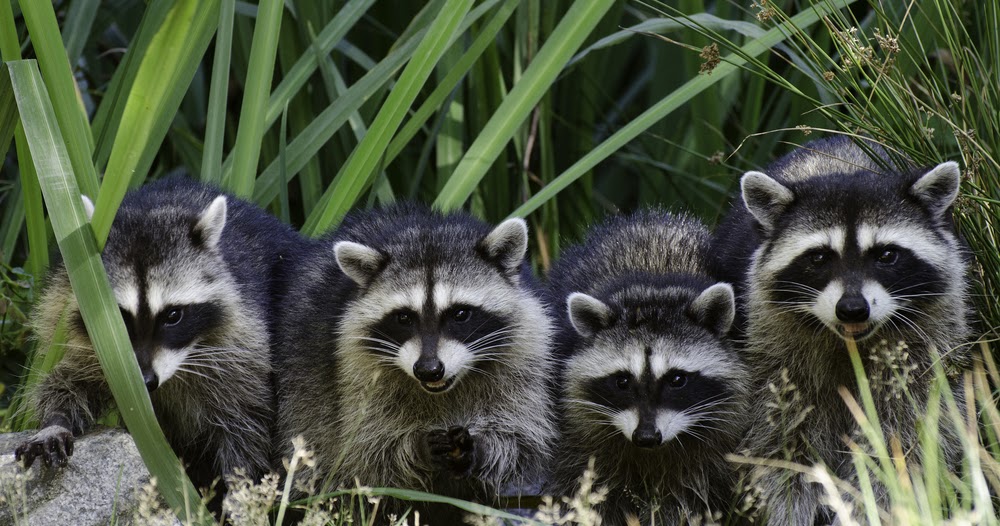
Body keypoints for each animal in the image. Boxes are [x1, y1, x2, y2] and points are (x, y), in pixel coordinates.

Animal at [15, 178, 304, 495]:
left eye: (173, 315)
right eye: (119, 318)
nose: (145, 381)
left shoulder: (244, 339)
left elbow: (245, 418)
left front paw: (239, 488)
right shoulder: (69, 321)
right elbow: (67, 382)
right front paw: (54, 422)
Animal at [273, 203, 556, 520]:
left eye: (460, 313)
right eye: (404, 317)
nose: (429, 370)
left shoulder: (525, 354)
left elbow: (519, 442)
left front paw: (481, 448)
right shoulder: (354, 372)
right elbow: (369, 452)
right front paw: (416, 448)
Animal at [546, 210, 748, 526]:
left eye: (677, 379)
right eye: (622, 381)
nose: (646, 437)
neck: (652, 290)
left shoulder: (722, 439)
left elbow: (694, 494)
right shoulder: (575, 432)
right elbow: (584, 484)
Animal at [711, 136, 973, 525]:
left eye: (886, 255)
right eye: (819, 257)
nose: (852, 309)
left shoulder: (924, 348)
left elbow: (899, 440)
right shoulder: (774, 355)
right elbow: (780, 447)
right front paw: (787, 512)